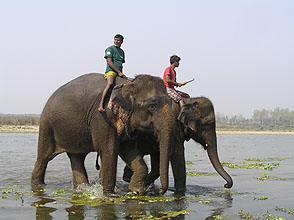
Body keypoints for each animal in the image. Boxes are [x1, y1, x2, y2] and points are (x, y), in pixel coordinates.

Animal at [31, 73, 175, 194]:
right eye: (152, 106)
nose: (160, 191)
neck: (128, 84)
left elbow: (129, 151)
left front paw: (136, 191)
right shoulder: (102, 117)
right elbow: (109, 150)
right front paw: (109, 194)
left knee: (77, 157)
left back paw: (82, 188)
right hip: (46, 126)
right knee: (44, 157)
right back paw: (38, 186)